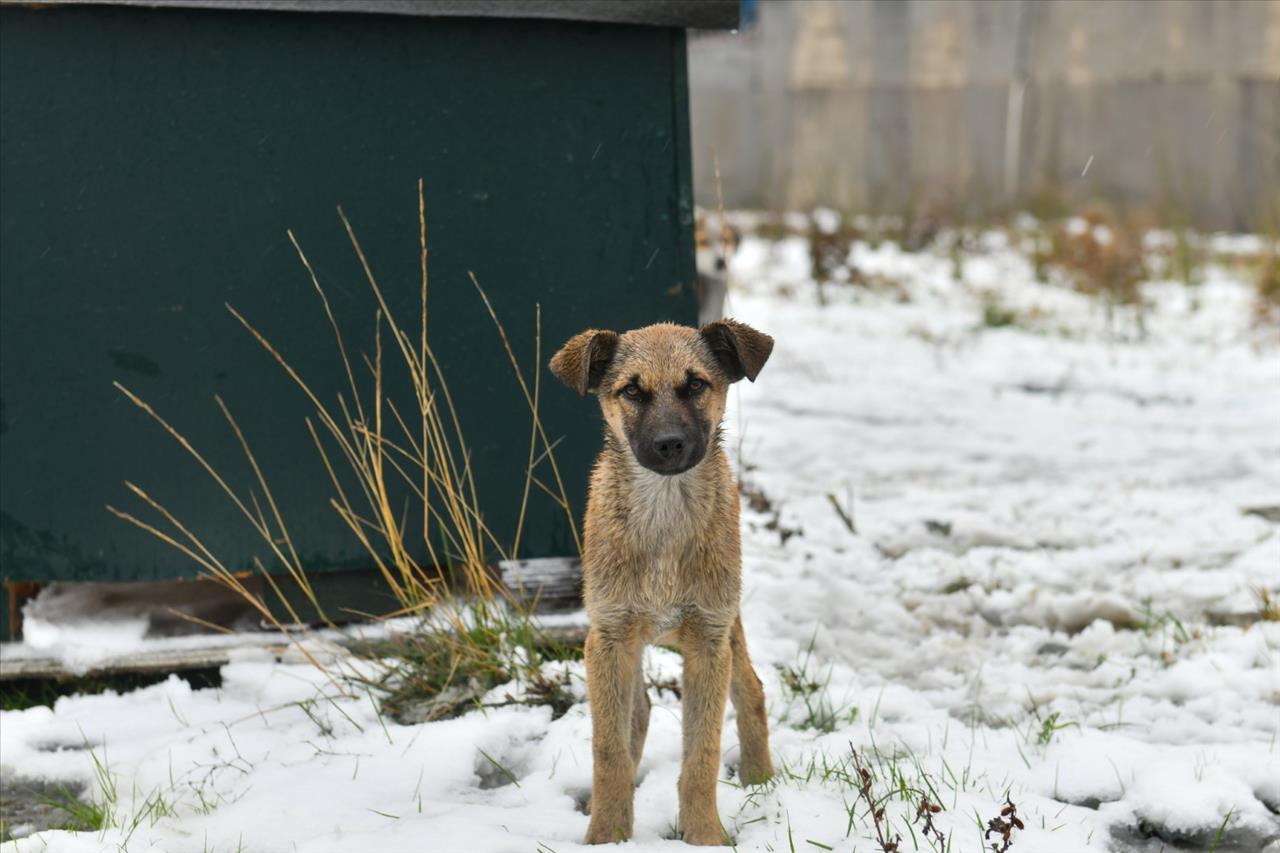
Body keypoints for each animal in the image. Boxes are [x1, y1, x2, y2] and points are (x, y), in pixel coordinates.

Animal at [547, 318, 773, 845]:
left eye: (696, 385)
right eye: (632, 390)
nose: (670, 444)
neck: (665, 519)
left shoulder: (709, 642)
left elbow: (701, 756)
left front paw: (706, 837)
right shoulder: (607, 639)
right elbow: (609, 751)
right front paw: (607, 836)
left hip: (726, 625)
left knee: (751, 690)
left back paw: (762, 781)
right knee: (638, 714)